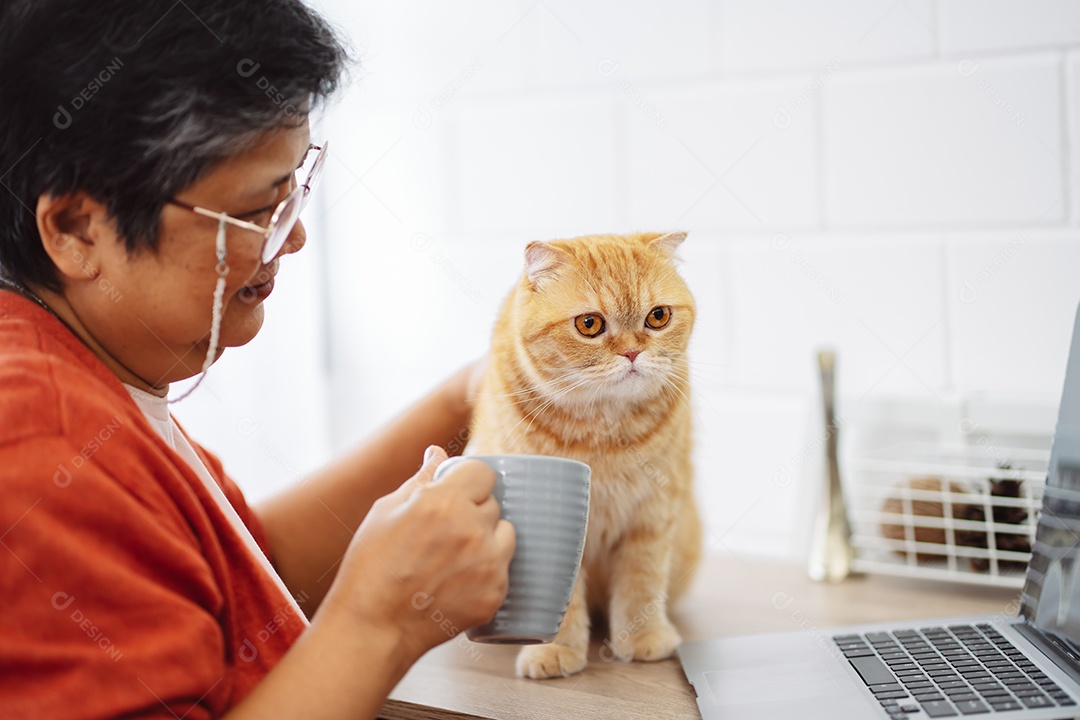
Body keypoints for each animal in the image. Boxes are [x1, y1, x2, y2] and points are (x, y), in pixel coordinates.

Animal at [470, 232, 704, 682]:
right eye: (590, 324)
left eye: (658, 317)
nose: (631, 354)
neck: (604, 431)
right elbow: (564, 598)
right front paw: (554, 649)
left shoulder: (654, 513)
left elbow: (642, 582)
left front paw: (644, 637)